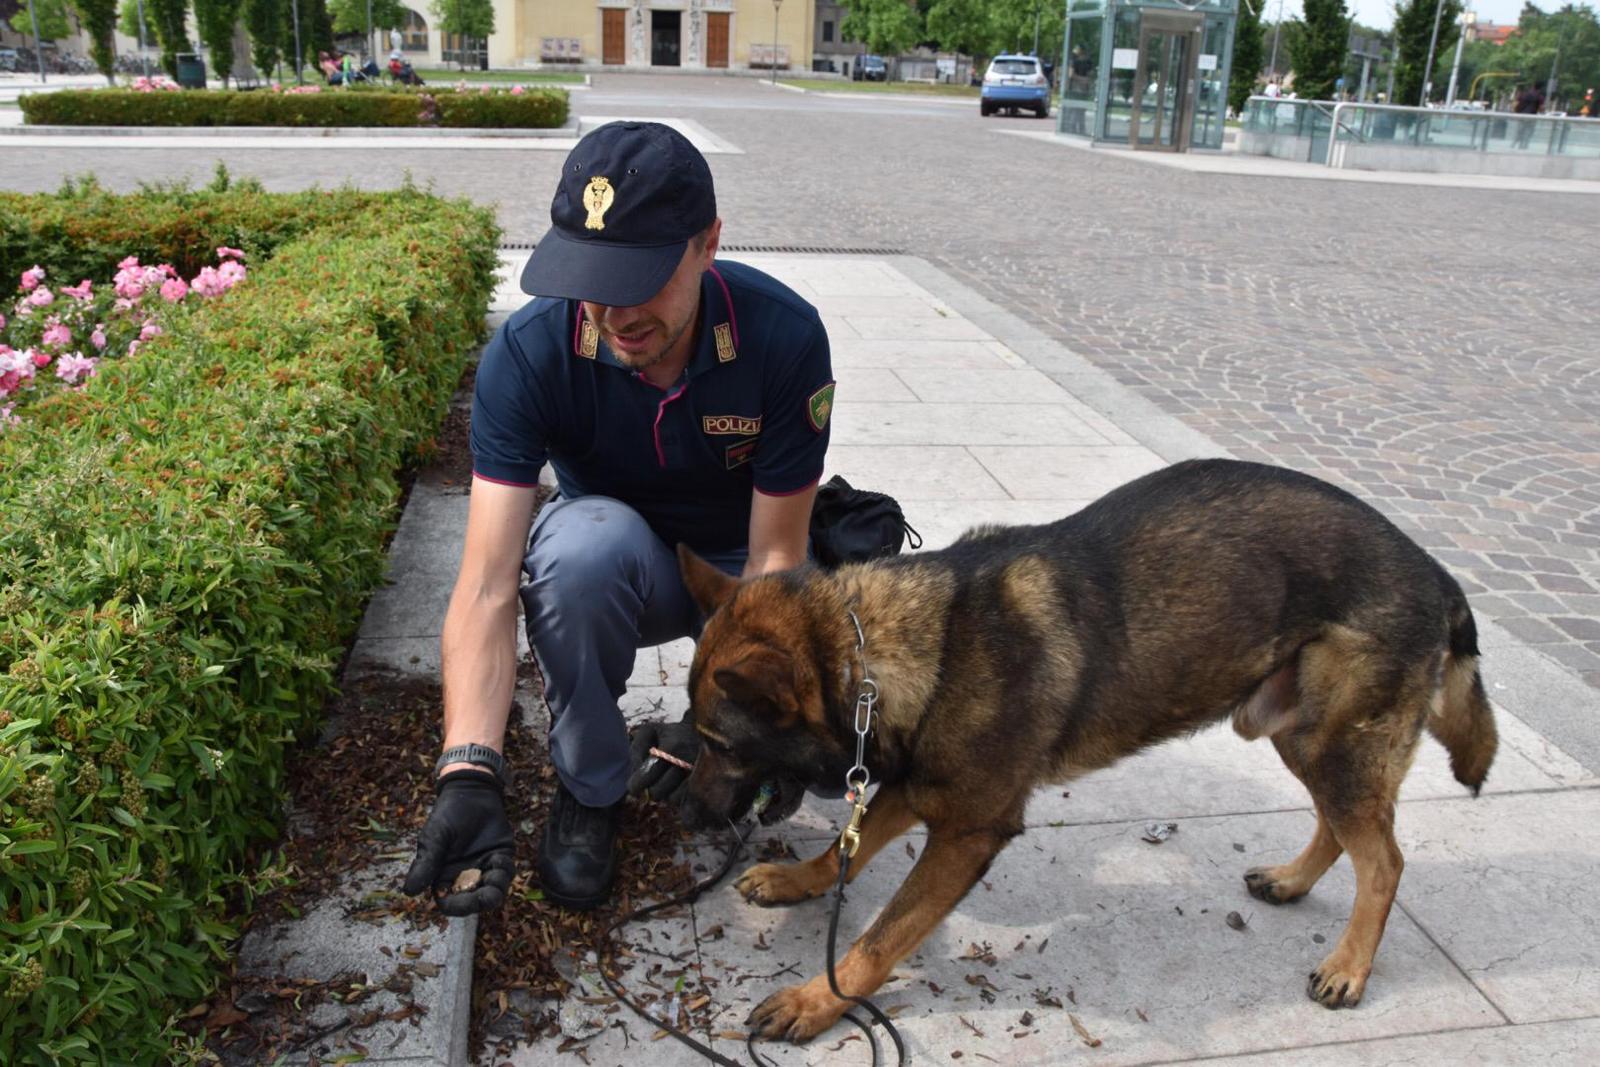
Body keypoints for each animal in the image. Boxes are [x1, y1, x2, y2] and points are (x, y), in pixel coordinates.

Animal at [675, 457, 1497, 1043]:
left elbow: (880, 938)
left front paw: (819, 1000)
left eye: (719, 741)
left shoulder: (968, 831)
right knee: (1342, 828)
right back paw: (1294, 882)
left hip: (1337, 745)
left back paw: (1349, 967)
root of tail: (1439, 574)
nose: (685, 811)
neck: (886, 650)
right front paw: (800, 880)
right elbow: (851, 844)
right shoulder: (917, 788)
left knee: (1383, 859)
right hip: (1303, 735)